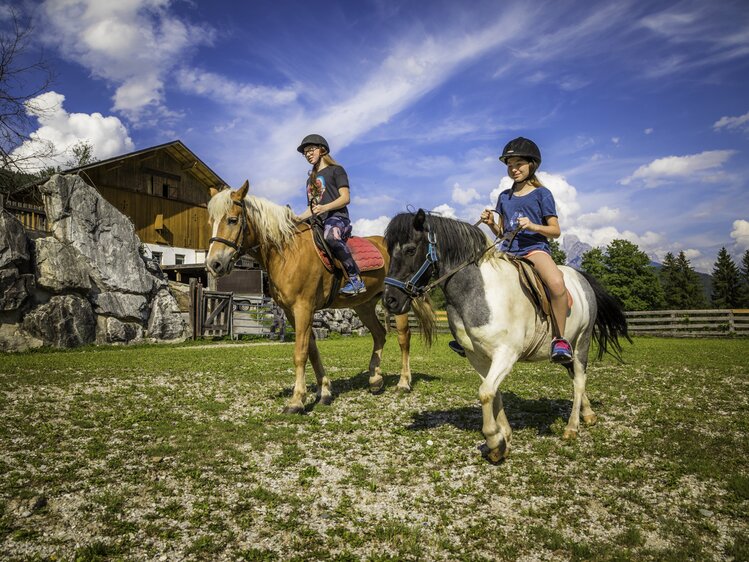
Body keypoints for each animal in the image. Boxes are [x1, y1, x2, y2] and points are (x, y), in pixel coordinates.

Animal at [205, 182, 414, 414]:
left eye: (232, 220)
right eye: (211, 222)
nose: (214, 264)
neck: (287, 252)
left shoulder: (302, 308)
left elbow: (301, 352)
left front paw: (297, 400)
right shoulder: (291, 312)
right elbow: (312, 349)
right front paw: (324, 392)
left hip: (399, 304)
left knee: (403, 338)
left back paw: (403, 383)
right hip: (364, 305)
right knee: (379, 334)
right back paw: (375, 380)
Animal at [382, 209, 628, 460]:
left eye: (411, 249)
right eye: (390, 251)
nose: (389, 300)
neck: (479, 291)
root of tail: (580, 278)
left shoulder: (506, 354)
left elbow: (485, 393)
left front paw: (494, 441)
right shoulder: (477, 356)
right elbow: (493, 392)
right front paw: (505, 437)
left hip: (582, 342)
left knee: (579, 380)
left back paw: (572, 427)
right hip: (567, 348)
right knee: (574, 374)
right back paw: (588, 414)